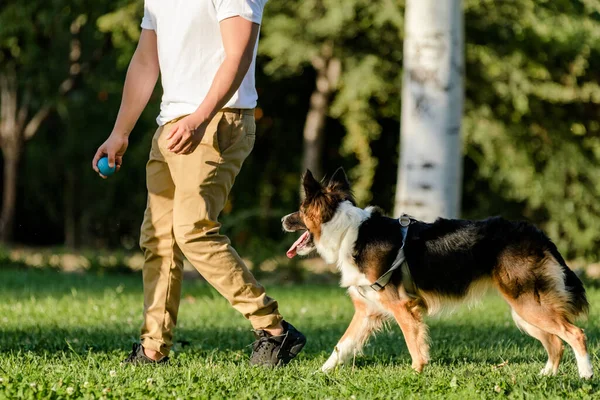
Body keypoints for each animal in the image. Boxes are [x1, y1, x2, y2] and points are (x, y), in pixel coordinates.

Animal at [282, 168, 592, 378]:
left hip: (528, 305)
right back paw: (546, 376)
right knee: (556, 342)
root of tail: (536, 233)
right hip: (525, 310)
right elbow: (341, 347)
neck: (348, 232)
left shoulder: (403, 307)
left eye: (299, 210)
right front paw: (319, 373)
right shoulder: (367, 311)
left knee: (575, 334)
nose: (283, 220)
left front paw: (415, 375)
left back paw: (585, 374)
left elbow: (414, 345)